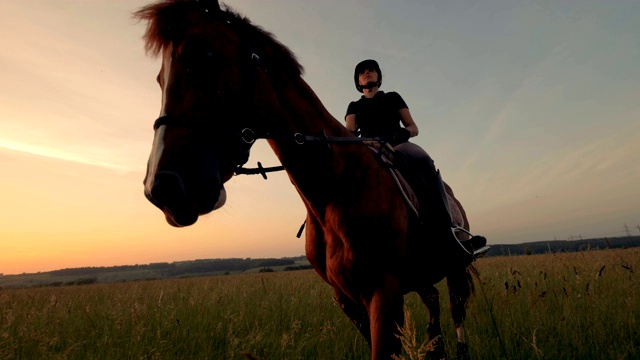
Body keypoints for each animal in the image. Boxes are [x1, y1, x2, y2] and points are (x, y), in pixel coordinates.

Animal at [136, 1, 484, 358]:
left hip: (454, 268)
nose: (162, 187)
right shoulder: (348, 300)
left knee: (456, 311)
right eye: (160, 78)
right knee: (434, 304)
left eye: (205, 54)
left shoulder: (383, 293)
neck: (336, 188)